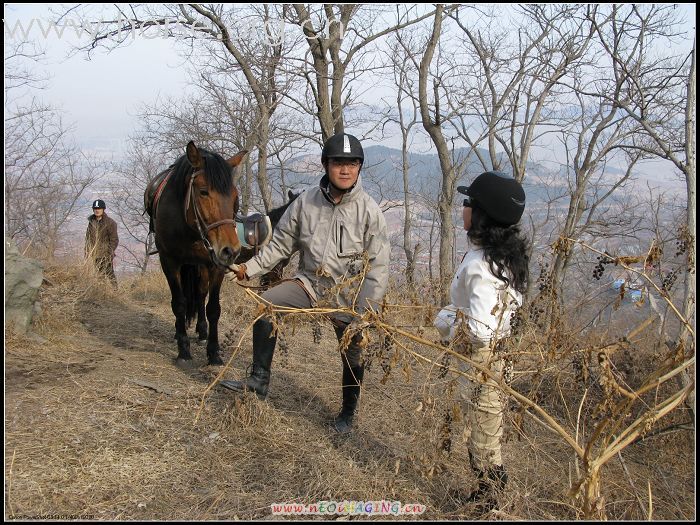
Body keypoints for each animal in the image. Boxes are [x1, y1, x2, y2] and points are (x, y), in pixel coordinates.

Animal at [144, 141, 245, 366]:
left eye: (235, 197)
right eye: (204, 192)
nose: (231, 250)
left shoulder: (215, 264)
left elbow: (213, 308)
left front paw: (214, 353)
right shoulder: (169, 262)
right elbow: (179, 303)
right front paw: (183, 349)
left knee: (200, 293)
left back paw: (202, 330)